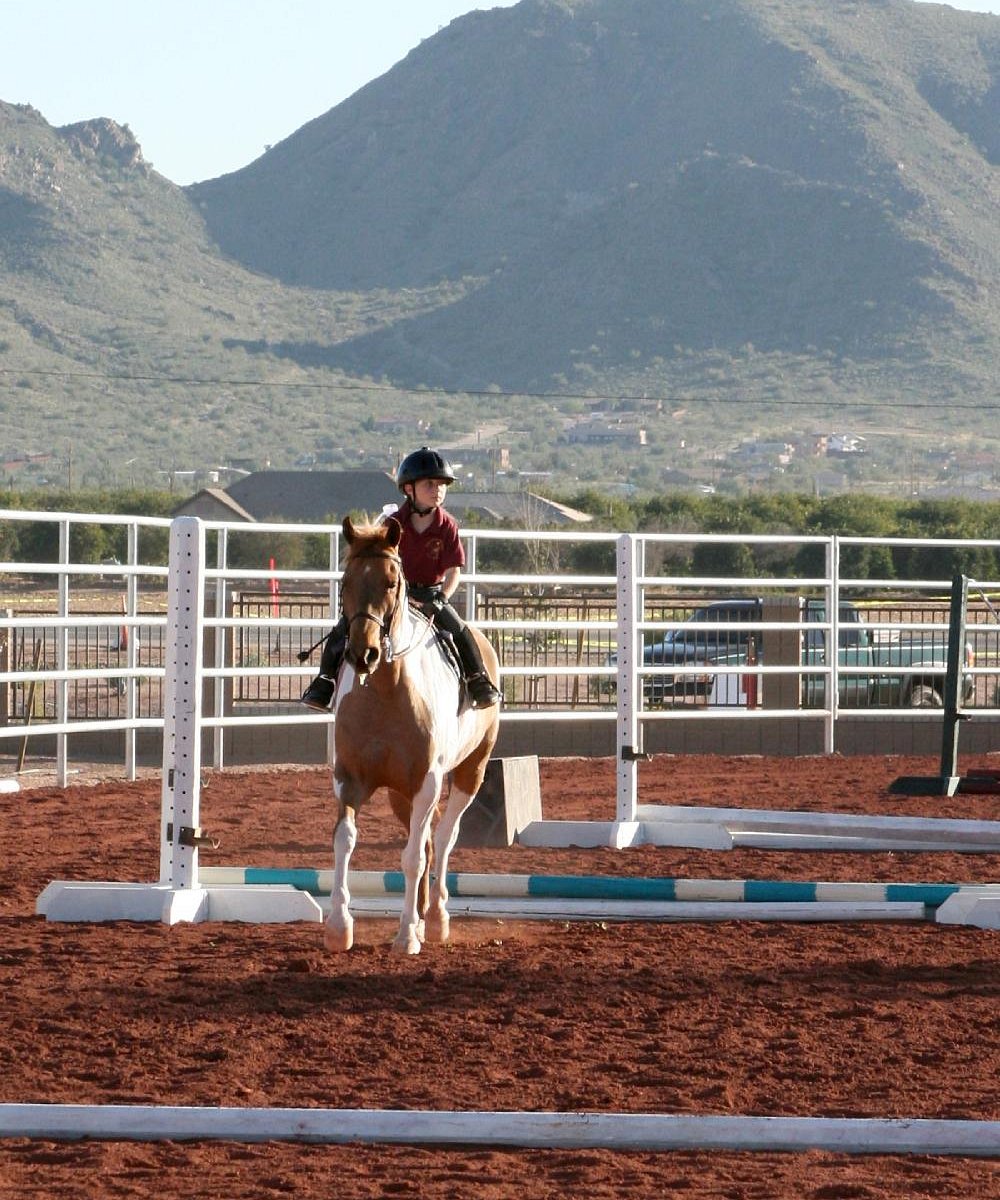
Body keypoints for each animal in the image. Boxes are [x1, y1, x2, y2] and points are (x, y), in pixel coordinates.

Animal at [324, 513, 504, 955]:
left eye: (392, 582)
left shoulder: (427, 782)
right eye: (346, 581)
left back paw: (434, 919)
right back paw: (422, 918)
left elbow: (413, 857)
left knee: (442, 838)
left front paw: (406, 934)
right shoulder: (349, 780)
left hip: (468, 775)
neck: (386, 691)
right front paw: (339, 926)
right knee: (424, 839)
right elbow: (345, 841)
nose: (363, 654)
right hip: (399, 794)